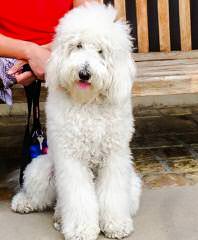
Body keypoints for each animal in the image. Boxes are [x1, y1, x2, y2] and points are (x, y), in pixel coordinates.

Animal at [10, 2, 142, 240]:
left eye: (101, 51)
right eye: (78, 45)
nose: (84, 73)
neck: (88, 102)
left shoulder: (114, 156)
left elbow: (112, 194)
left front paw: (115, 224)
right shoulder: (71, 158)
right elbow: (78, 196)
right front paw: (81, 229)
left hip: (133, 182)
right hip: (41, 169)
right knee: (42, 197)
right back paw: (27, 204)